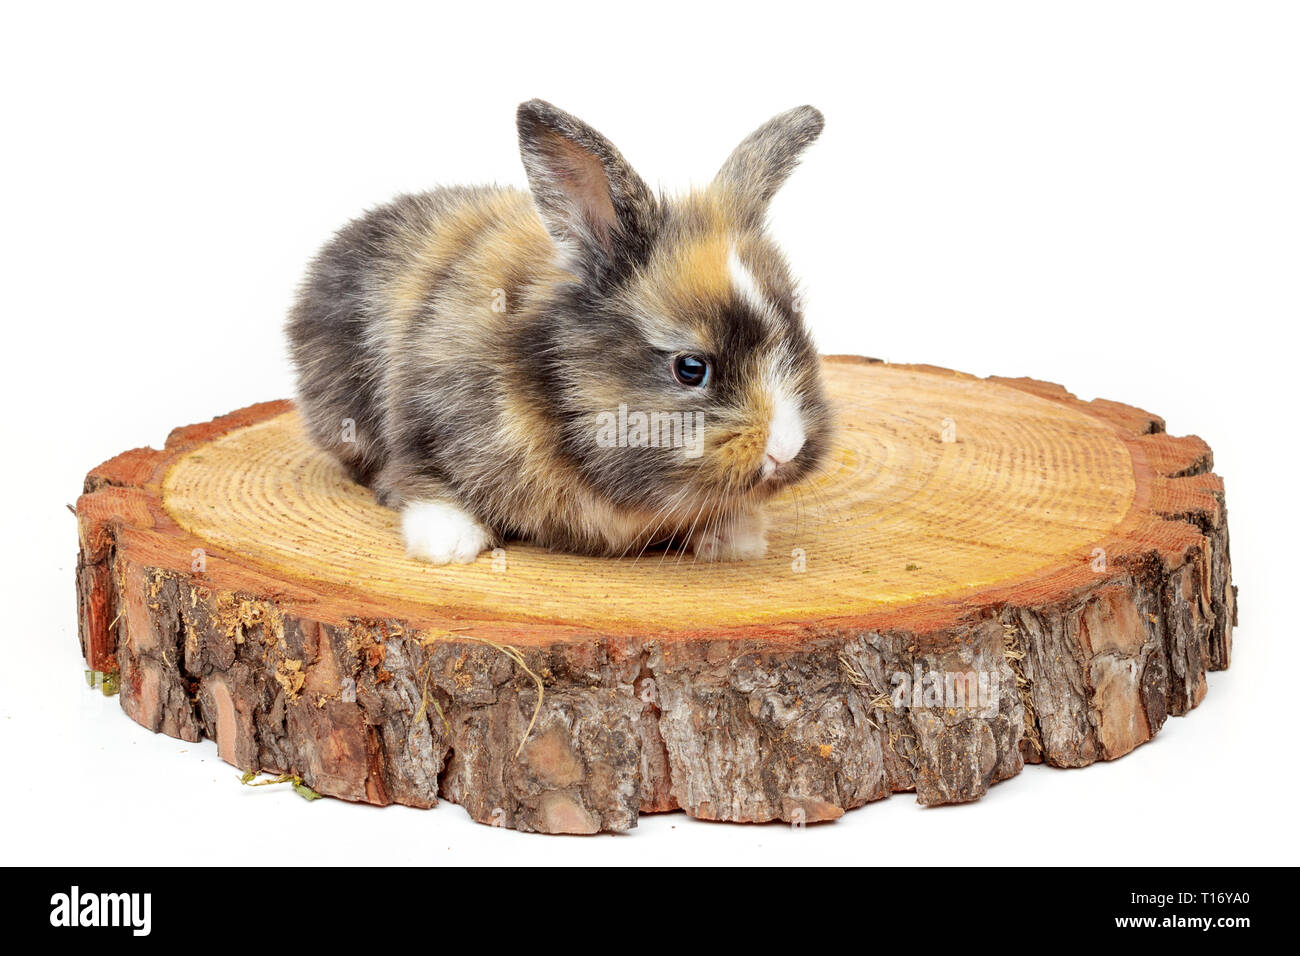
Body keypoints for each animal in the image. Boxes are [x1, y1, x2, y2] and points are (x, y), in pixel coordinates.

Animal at [287, 99, 831, 564]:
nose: (785, 449)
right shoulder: (420, 425)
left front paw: (737, 539)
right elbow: (422, 480)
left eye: (799, 339)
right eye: (691, 367)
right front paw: (449, 543)